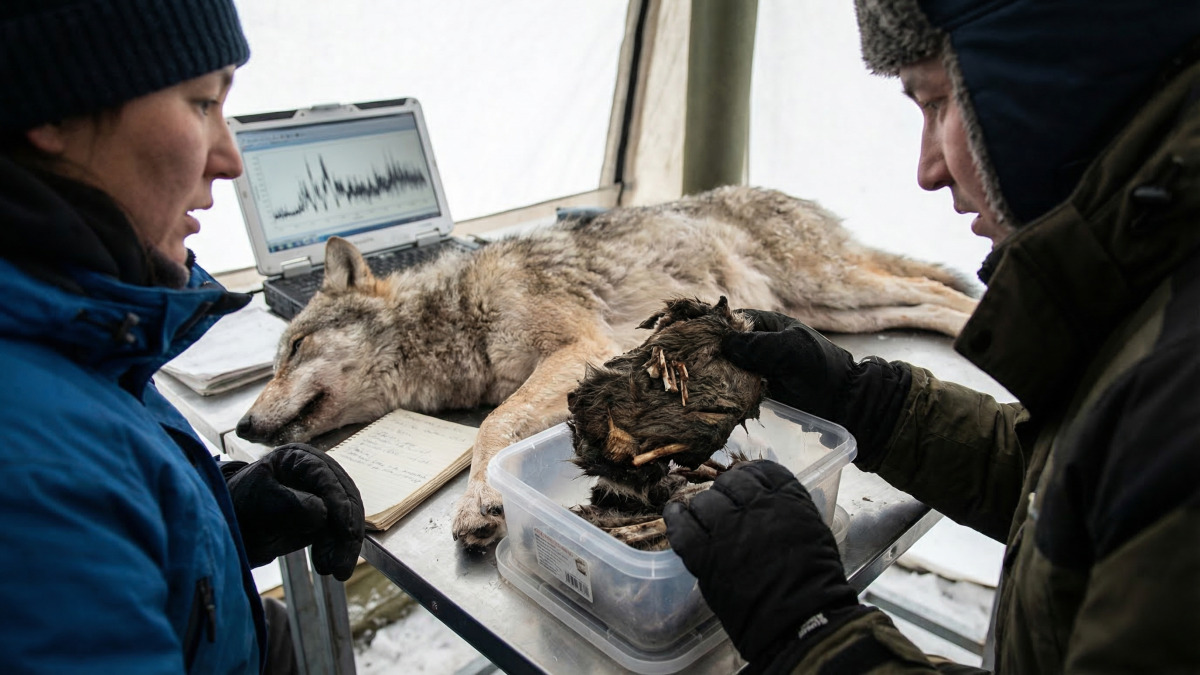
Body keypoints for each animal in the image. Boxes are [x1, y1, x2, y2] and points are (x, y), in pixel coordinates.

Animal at [236, 185, 978, 548]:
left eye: (294, 349)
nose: (240, 427)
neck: (457, 314)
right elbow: (498, 422)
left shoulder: (579, 349)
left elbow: (492, 426)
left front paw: (480, 503)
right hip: (830, 310)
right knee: (924, 300)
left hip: (831, 288)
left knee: (935, 290)